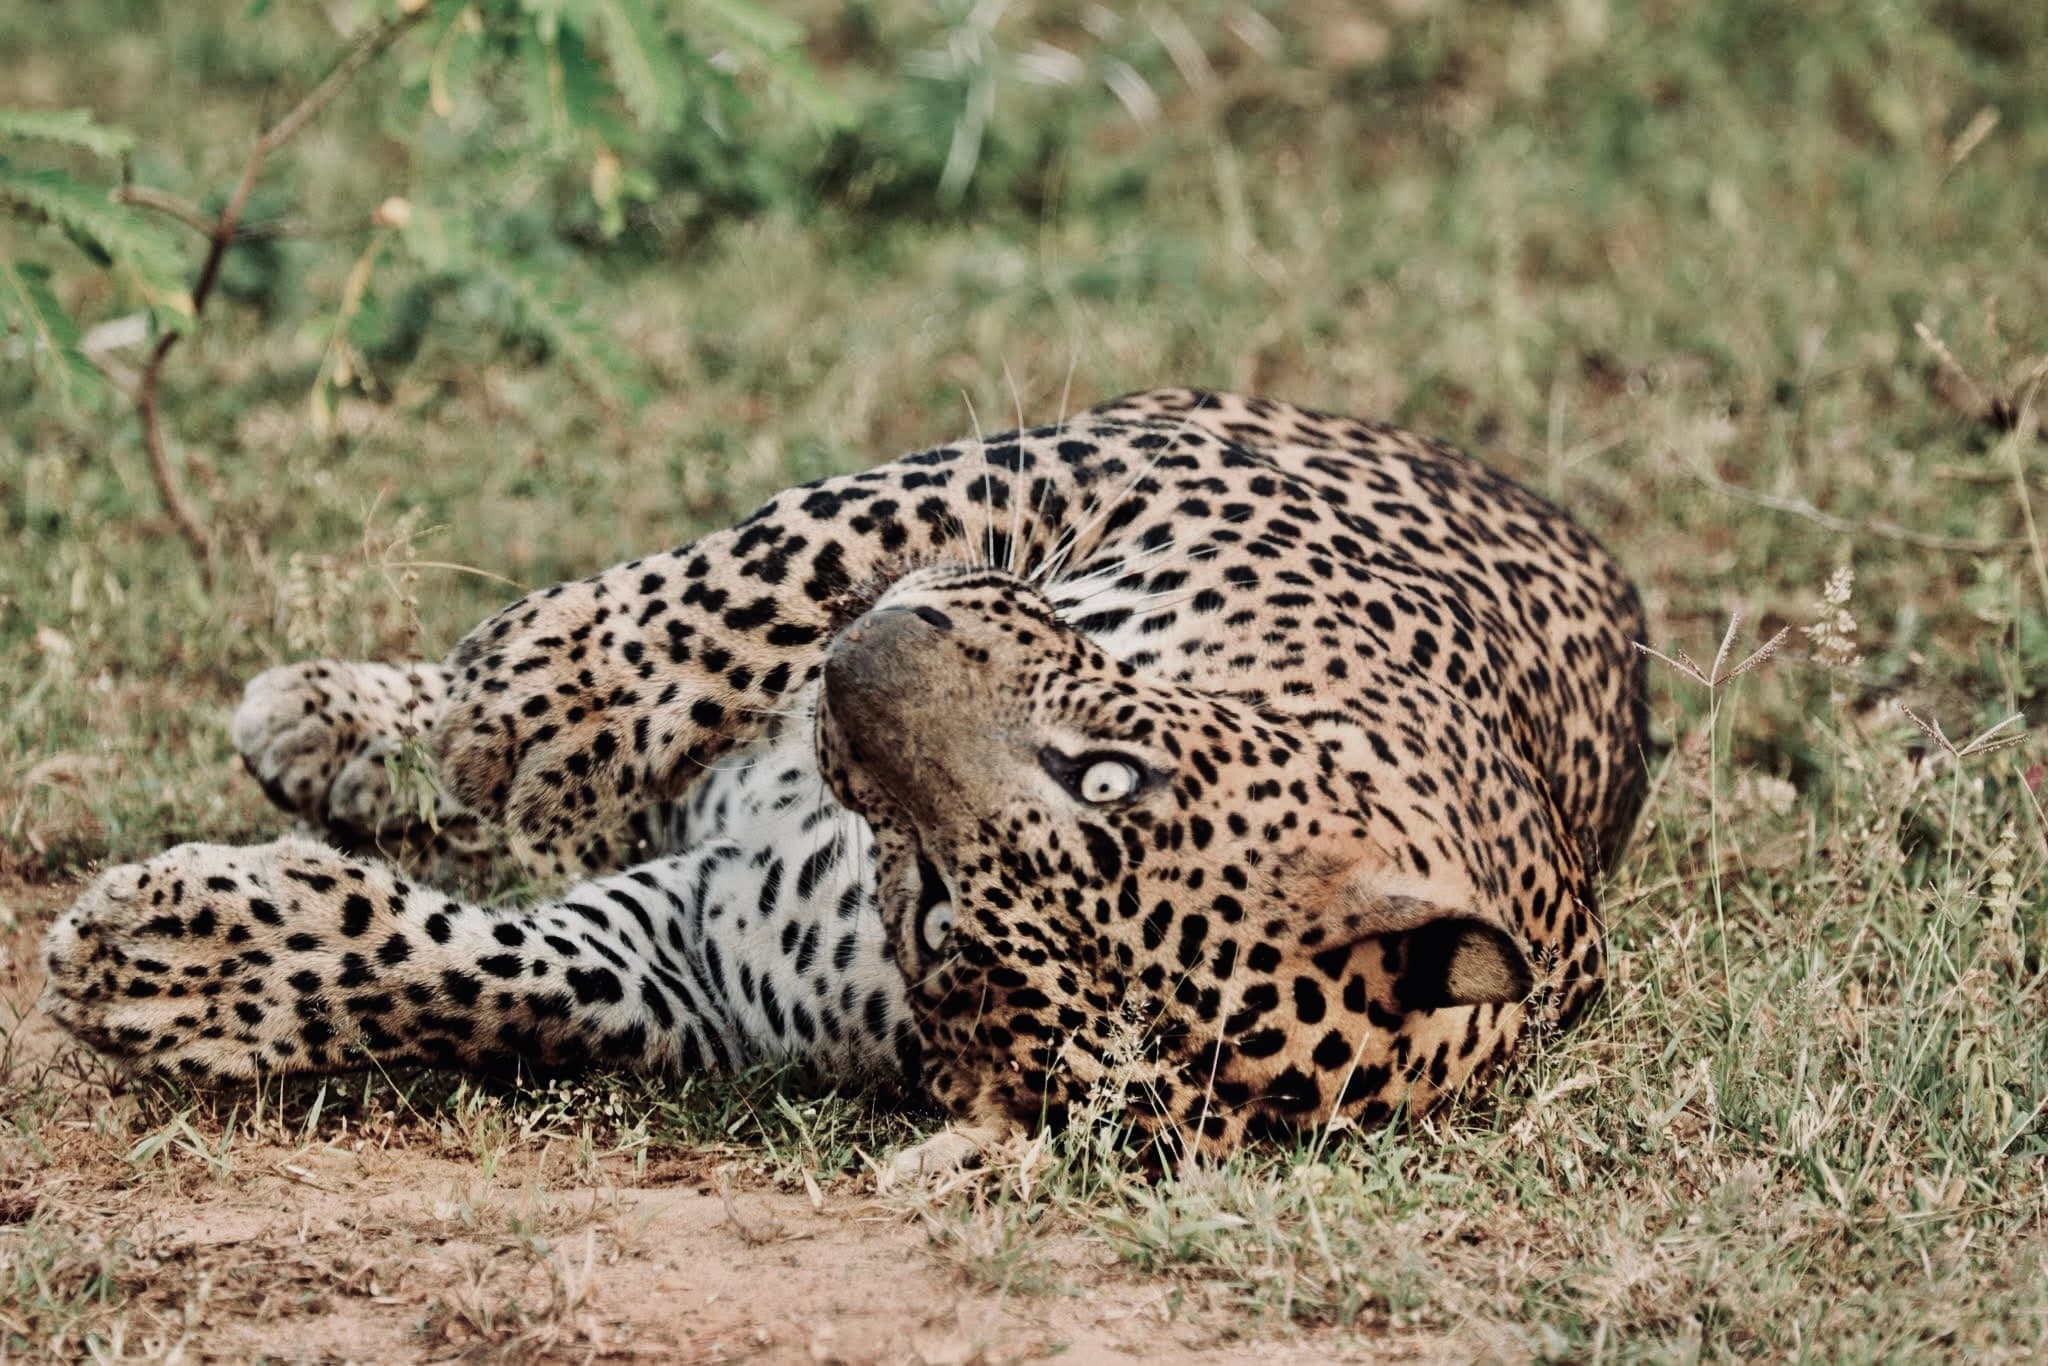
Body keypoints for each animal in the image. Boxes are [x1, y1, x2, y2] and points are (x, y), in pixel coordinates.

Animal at [41, 389, 1648, 1175]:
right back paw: (353, 717)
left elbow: (492, 974)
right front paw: (542, 698)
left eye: (947, 920)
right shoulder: (1095, 465)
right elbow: (764, 566)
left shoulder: (685, 957)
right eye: (1109, 774)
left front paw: (164, 966)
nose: (860, 673)